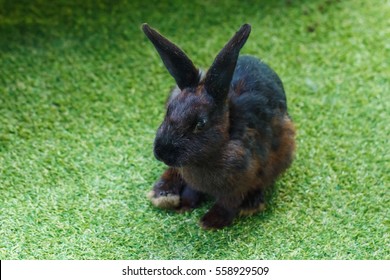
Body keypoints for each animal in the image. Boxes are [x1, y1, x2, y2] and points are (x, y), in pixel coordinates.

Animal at [143, 23, 296, 230]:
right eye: (169, 109)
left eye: (200, 123)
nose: (161, 153)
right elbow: (192, 189)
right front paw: (185, 206)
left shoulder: (240, 183)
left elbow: (228, 202)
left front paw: (210, 221)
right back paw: (163, 194)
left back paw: (251, 205)